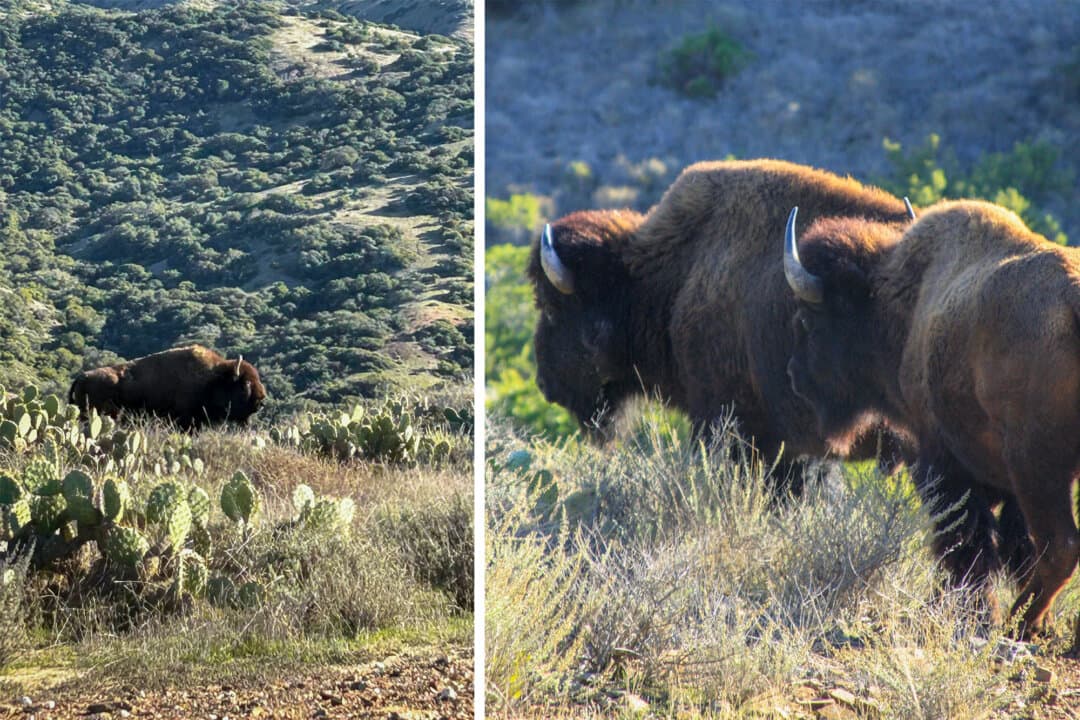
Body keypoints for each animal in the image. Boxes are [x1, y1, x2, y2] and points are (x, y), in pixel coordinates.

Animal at [784, 199, 1078, 635]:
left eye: (806, 319)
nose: (793, 374)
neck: (906, 305)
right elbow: (1012, 546)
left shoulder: (941, 463)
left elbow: (965, 542)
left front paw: (970, 612)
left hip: (1036, 466)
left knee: (1060, 546)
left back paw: (1016, 623)